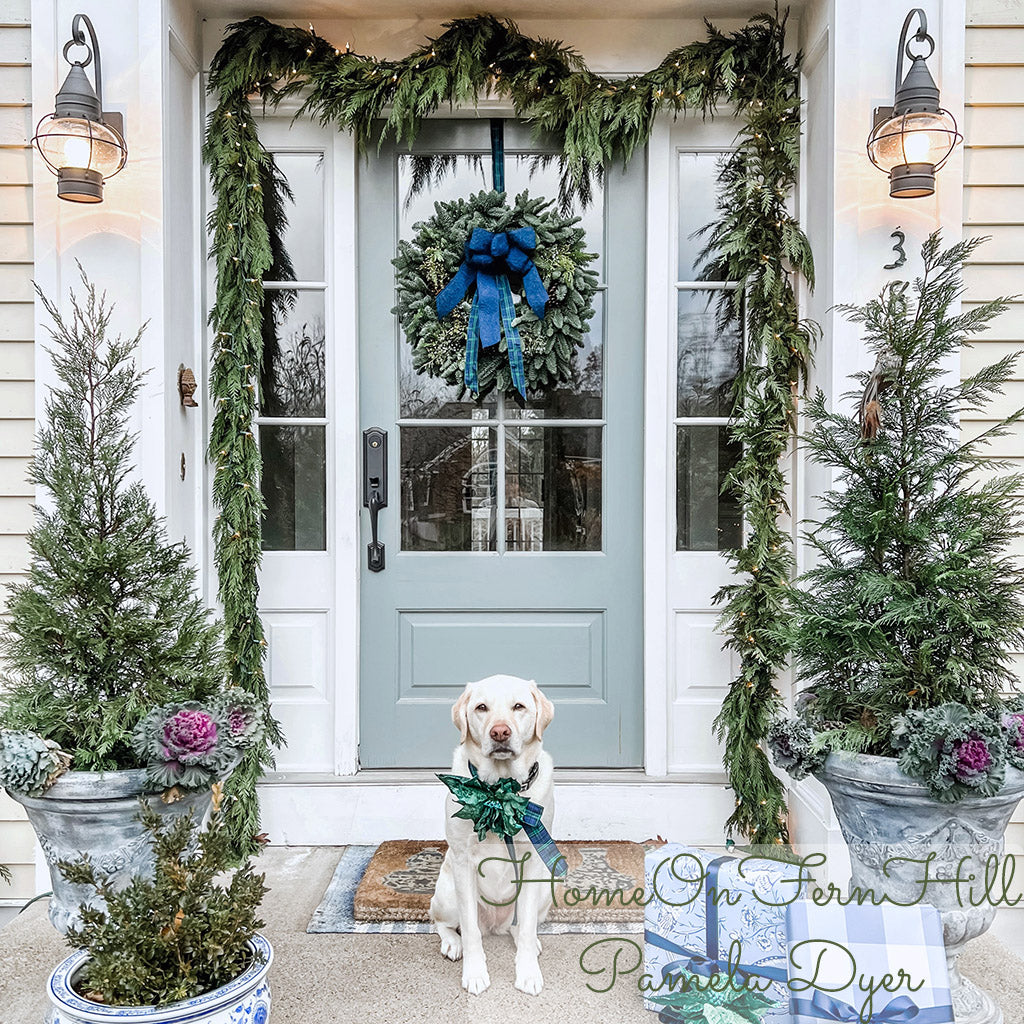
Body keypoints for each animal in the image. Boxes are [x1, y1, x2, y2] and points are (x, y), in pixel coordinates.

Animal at [428, 675, 557, 995]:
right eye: (481, 708)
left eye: (519, 706)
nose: (500, 732)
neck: (500, 789)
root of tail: (495, 925)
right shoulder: (463, 861)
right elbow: (471, 931)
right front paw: (474, 974)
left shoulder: (532, 861)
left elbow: (526, 928)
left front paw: (528, 973)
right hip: (448, 894)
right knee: (442, 922)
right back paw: (452, 943)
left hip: (543, 892)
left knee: (519, 926)